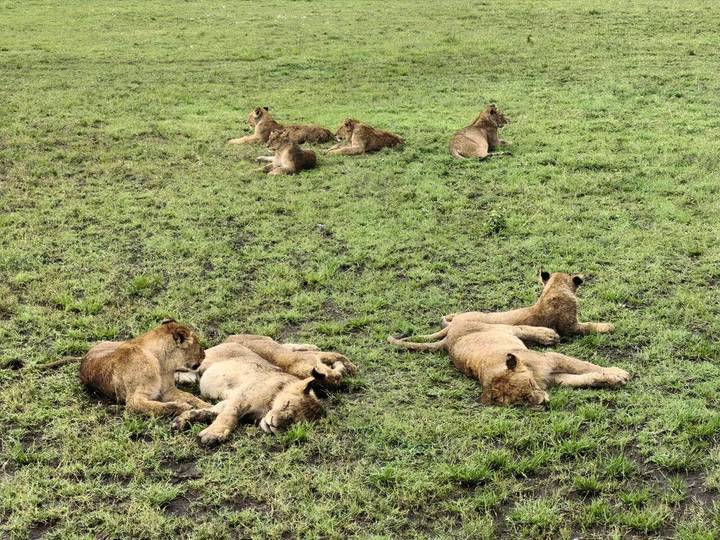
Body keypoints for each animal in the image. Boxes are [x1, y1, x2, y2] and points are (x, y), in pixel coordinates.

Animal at [78, 319, 210, 416]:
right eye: (198, 345)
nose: (205, 355)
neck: (160, 362)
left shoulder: (167, 391)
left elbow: (190, 396)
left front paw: (207, 406)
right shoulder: (134, 401)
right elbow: (160, 407)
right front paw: (184, 407)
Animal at [171, 342, 327, 444]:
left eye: (294, 423)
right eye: (286, 404)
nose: (273, 424)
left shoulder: (231, 401)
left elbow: (212, 411)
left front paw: (183, 420)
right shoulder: (242, 397)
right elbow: (228, 416)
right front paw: (213, 434)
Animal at [223, 334, 357, 386]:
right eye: (337, 379)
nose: (339, 379)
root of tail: (228, 338)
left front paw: (350, 367)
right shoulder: (317, 357)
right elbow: (337, 355)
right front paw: (352, 367)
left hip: (266, 339)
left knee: (287, 346)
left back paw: (311, 346)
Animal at [388, 319, 630, 406]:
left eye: (529, 386)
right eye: (520, 401)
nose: (542, 403)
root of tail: (447, 339)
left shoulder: (553, 359)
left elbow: (587, 366)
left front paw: (618, 372)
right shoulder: (556, 378)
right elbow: (586, 378)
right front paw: (613, 380)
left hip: (496, 327)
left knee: (518, 327)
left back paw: (547, 334)